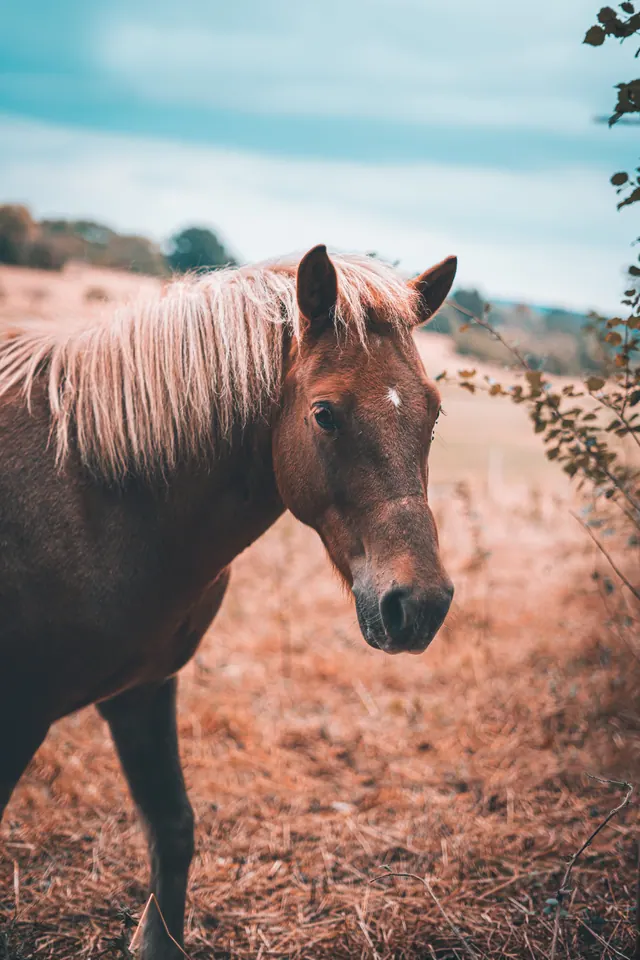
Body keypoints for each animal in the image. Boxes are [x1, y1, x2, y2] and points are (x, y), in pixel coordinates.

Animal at [0, 244, 456, 958]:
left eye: (432, 413)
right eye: (325, 414)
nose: (422, 604)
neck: (98, 494)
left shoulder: (142, 690)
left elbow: (174, 827)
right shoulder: (19, 712)